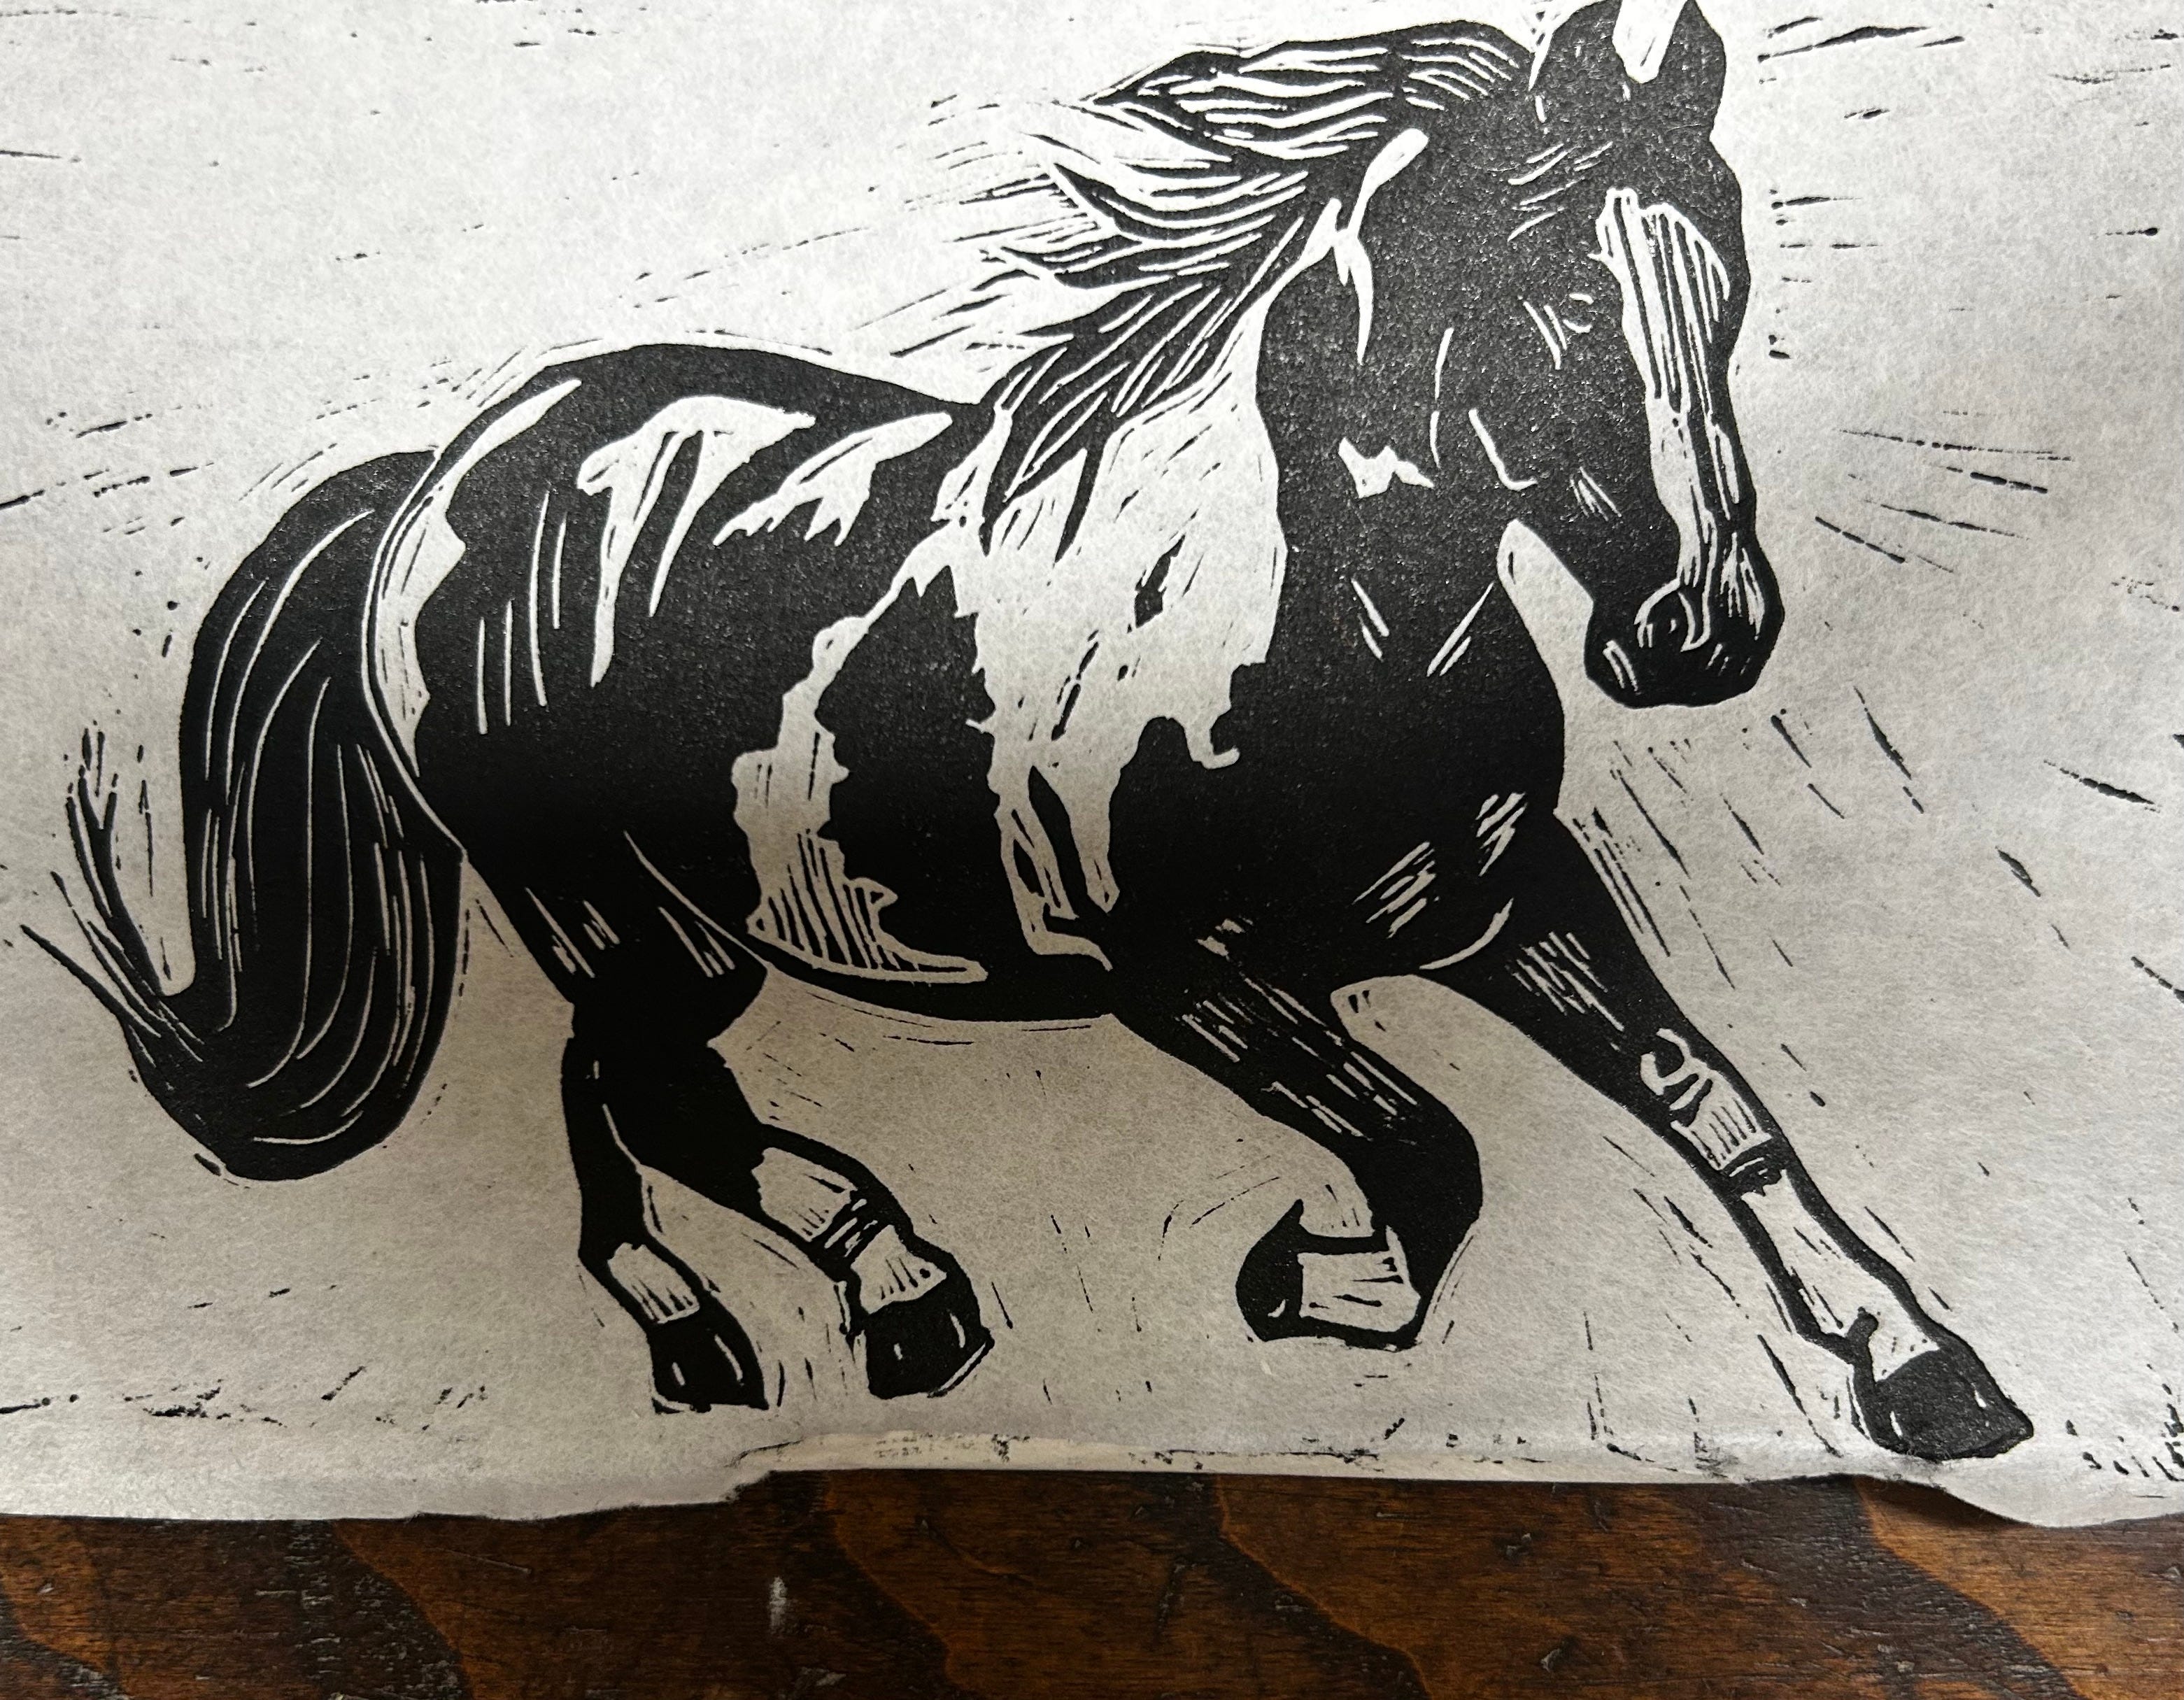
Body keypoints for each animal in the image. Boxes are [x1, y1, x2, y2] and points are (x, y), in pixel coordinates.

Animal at [41, 0, 2030, 1461]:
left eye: (1728, 277)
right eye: (1548, 294)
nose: (1705, 633)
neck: (1310, 624)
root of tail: (428, 486)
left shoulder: (1499, 898)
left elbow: (1710, 1100)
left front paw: (1923, 1368)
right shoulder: (1184, 975)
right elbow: (1429, 1156)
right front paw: (1299, 1280)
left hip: (665, 932)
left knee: (605, 1094)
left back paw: (700, 1335)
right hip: (608, 910)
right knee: (663, 1095)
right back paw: (904, 1295)